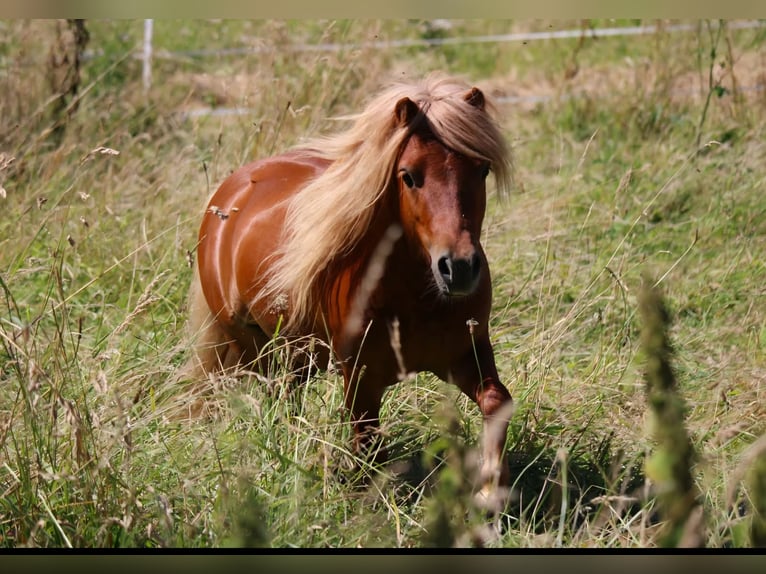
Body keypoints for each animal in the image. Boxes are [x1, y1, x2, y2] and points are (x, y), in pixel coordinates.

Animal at [185, 74, 515, 500]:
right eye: (409, 175)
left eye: (482, 170)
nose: (458, 269)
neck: (414, 298)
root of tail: (230, 194)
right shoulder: (361, 381)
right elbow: (369, 448)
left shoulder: (465, 355)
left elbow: (496, 400)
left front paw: (491, 488)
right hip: (253, 349)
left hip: (297, 355)